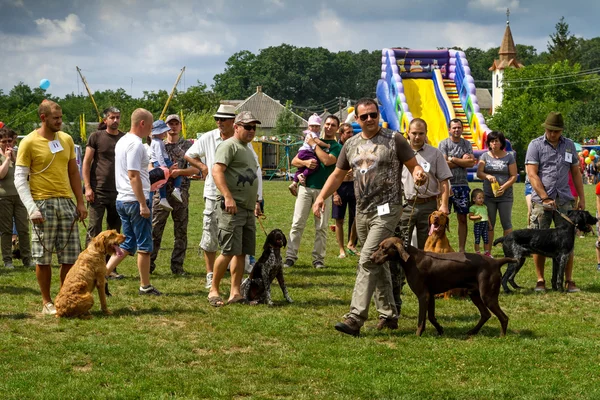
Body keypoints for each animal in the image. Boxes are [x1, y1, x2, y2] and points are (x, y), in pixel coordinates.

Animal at [372, 236, 512, 336]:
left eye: (384, 248)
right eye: (379, 246)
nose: (371, 258)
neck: (411, 259)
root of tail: (496, 262)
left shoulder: (423, 295)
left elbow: (421, 319)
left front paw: (418, 334)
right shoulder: (431, 295)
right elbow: (431, 317)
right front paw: (440, 329)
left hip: (487, 295)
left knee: (504, 317)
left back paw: (502, 336)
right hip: (474, 294)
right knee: (486, 314)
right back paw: (472, 331)